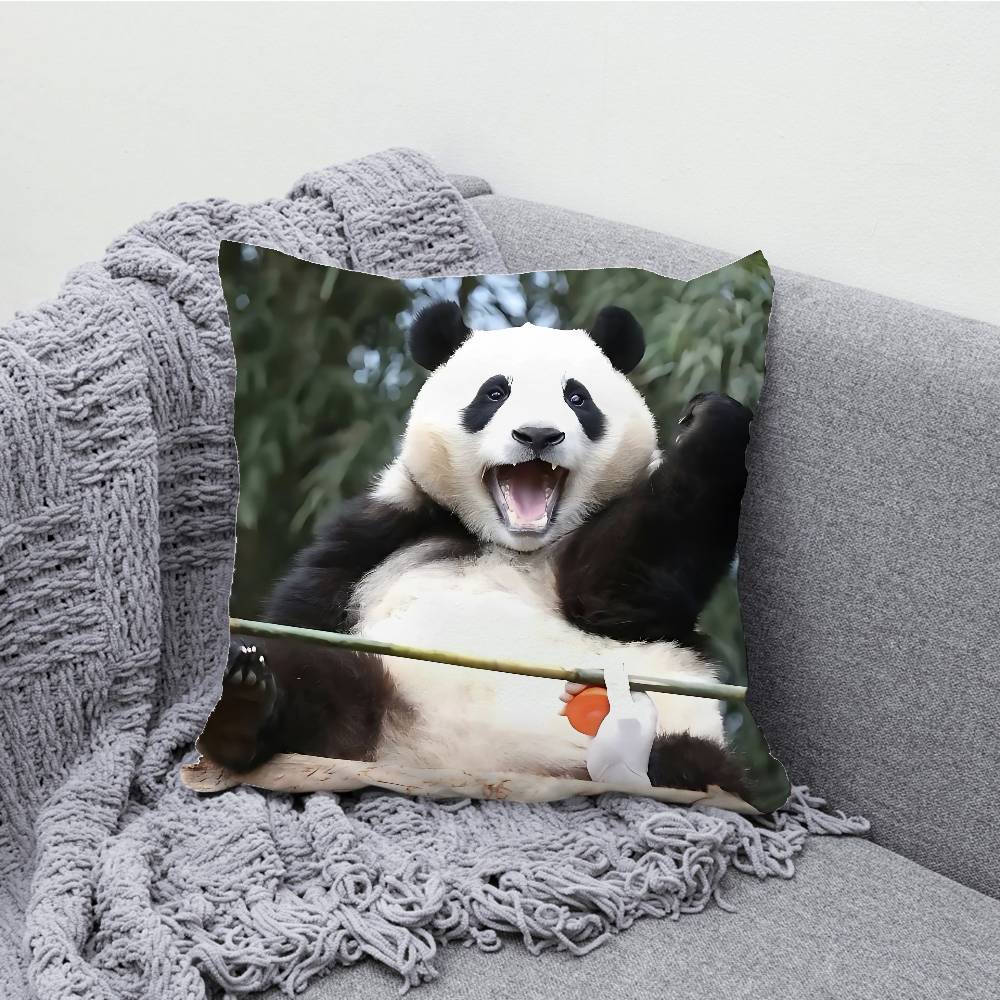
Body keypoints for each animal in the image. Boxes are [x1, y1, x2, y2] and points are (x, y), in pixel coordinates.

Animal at [198, 302, 752, 796]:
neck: (514, 543)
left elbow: (624, 589)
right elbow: (304, 615)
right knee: (319, 677)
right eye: (495, 392)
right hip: (384, 688)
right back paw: (242, 702)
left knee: (695, 761)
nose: (537, 435)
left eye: (577, 398)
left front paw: (711, 420)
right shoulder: (384, 533)